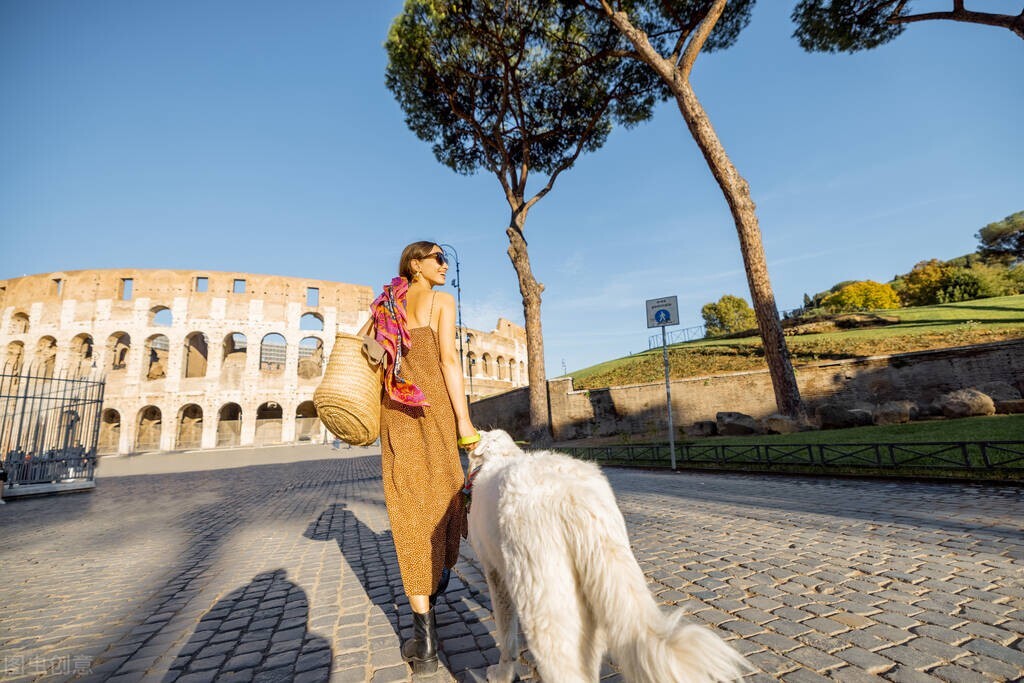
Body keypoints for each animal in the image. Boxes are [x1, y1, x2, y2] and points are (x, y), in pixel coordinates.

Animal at [468, 432, 749, 683]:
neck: (500, 455)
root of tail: (575, 498)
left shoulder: (495, 574)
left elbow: (506, 635)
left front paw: (501, 675)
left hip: (545, 602)